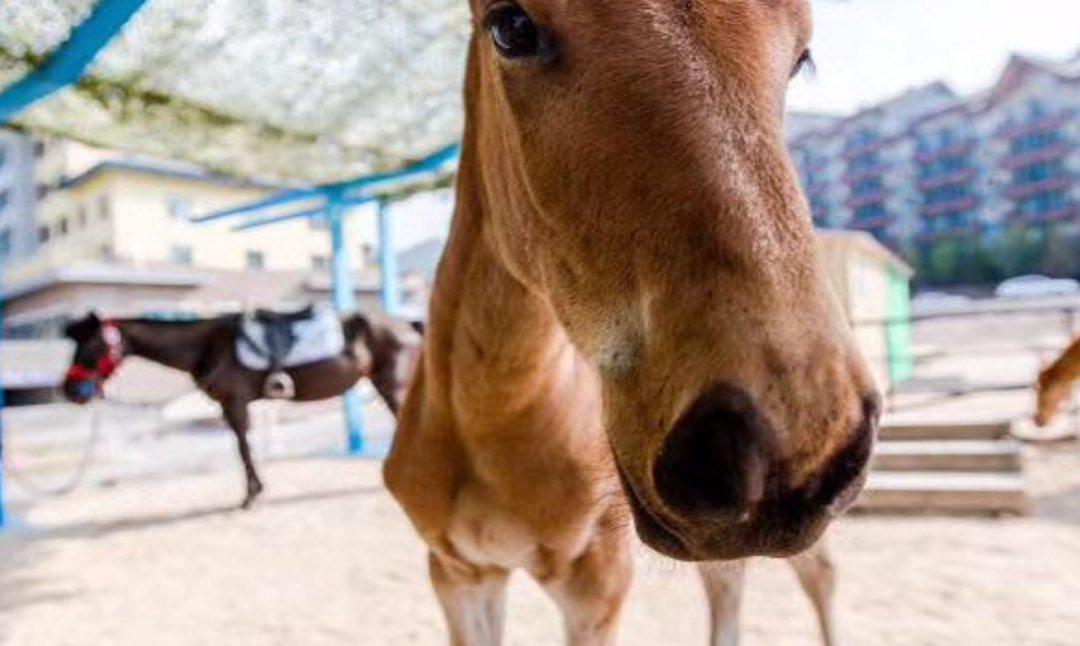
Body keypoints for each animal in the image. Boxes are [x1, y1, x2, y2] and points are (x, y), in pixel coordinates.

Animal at [59, 311, 421, 509]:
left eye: (91, 345)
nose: (70, 390)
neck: (207, 345)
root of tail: (408, 324)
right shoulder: (230, 406)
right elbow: (243, 447)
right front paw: (254, 492)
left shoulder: (234, 402)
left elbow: (243, 448)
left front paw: (251, 496)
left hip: (394, 386)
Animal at [386, 1, 876, 646]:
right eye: (509, 27)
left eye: (802, 57)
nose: (778, 449)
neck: (491, 425)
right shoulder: (457, 573)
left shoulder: (596, 580)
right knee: (729, 581)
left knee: (817, 574)